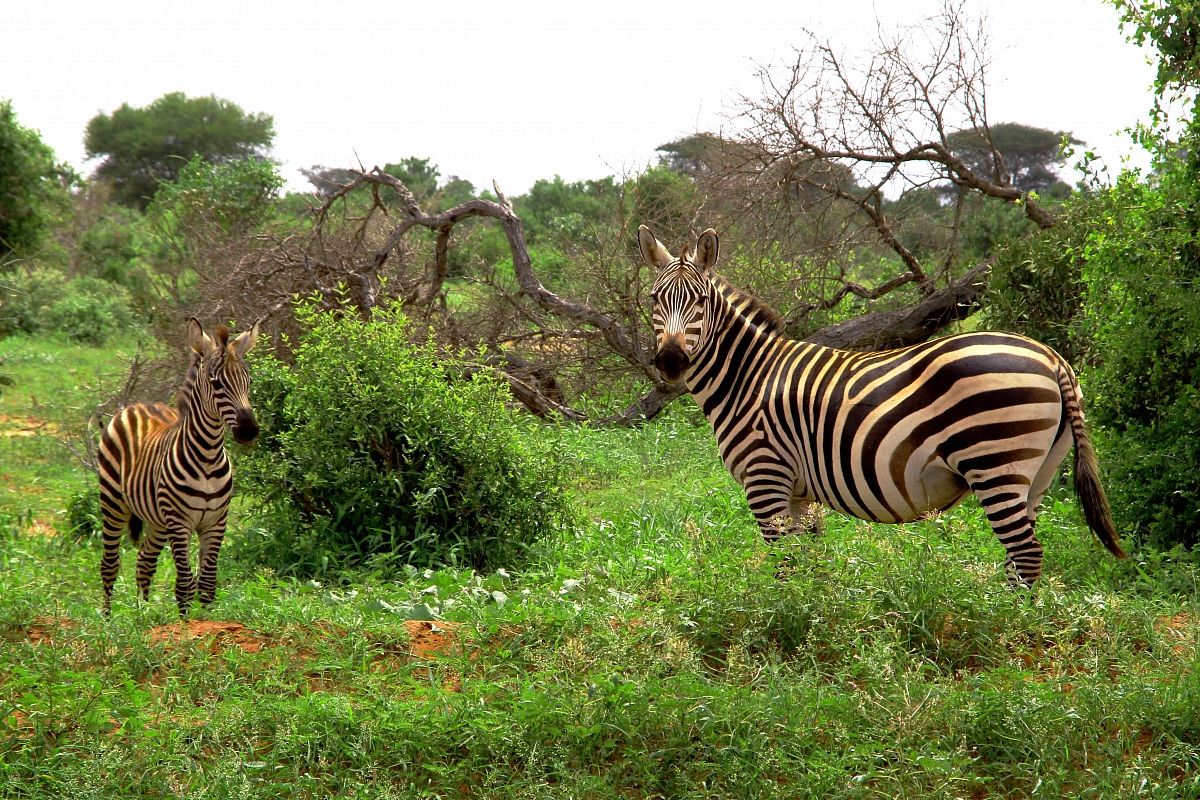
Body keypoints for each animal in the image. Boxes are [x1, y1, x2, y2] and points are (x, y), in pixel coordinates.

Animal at [98, 317, 262, 615]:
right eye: (216, 384)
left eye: (249, 381)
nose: (249, 431)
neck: (208, 456)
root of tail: (138, 404)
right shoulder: (180, 521)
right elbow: (185, 583)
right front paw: (186, 623)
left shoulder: (216, 522)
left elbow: (207, 583)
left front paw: (207, 621)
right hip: (113, 503)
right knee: (110, 564)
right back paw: (106, 618)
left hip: (156, 520)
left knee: (144, 562)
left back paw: (143, 613)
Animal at [638, 225, 1126, 585]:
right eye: (654, 300)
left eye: (700, 300)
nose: (671, 361)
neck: (748, 378)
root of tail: (1052, 358)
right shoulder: (798, 493)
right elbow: (809, 562)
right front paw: (811, 620)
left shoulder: (766, 478)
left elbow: (784, 566)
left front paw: (782, 627)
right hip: (1038, 471)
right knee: (1023, 554)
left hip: (995, 462)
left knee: (1025, 553)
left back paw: (1008, 628)